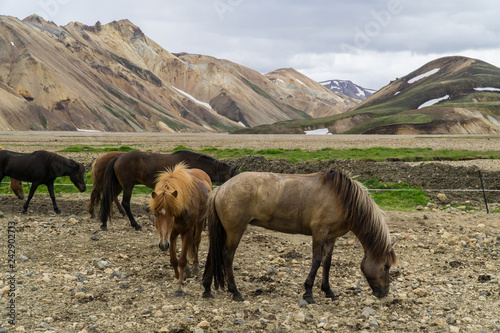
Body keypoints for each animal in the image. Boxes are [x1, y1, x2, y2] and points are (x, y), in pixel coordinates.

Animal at [98, 150, 239, 231]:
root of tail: (118, 158)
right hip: (128, 185)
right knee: (125, 203)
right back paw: (136, 225)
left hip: (119, 185)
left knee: (108, 199)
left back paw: (104, 223)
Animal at [148, 162, 211, 294]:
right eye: (155, 214)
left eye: (172, 214)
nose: (163, 245)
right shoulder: (171, 235)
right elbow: (173, 259)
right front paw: (178, 276)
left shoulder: (187, 231)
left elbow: (181, 260)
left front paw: (180, 287)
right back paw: (188, 270)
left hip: (200, 222)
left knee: (196, 242)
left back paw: (195, 268)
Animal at [203, 170, 398, 302]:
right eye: (386, 266)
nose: (384, 293)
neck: (343, 199)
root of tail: (221, 188)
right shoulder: (319, 233)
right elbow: (317, 261)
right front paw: (308, 292)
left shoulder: (331, 237)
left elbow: (327, 263)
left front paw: (328, 291)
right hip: (235, 230)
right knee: (227, 256)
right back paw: (235, 292)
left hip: (223, 231)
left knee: (213, 255)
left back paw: (207, 289)